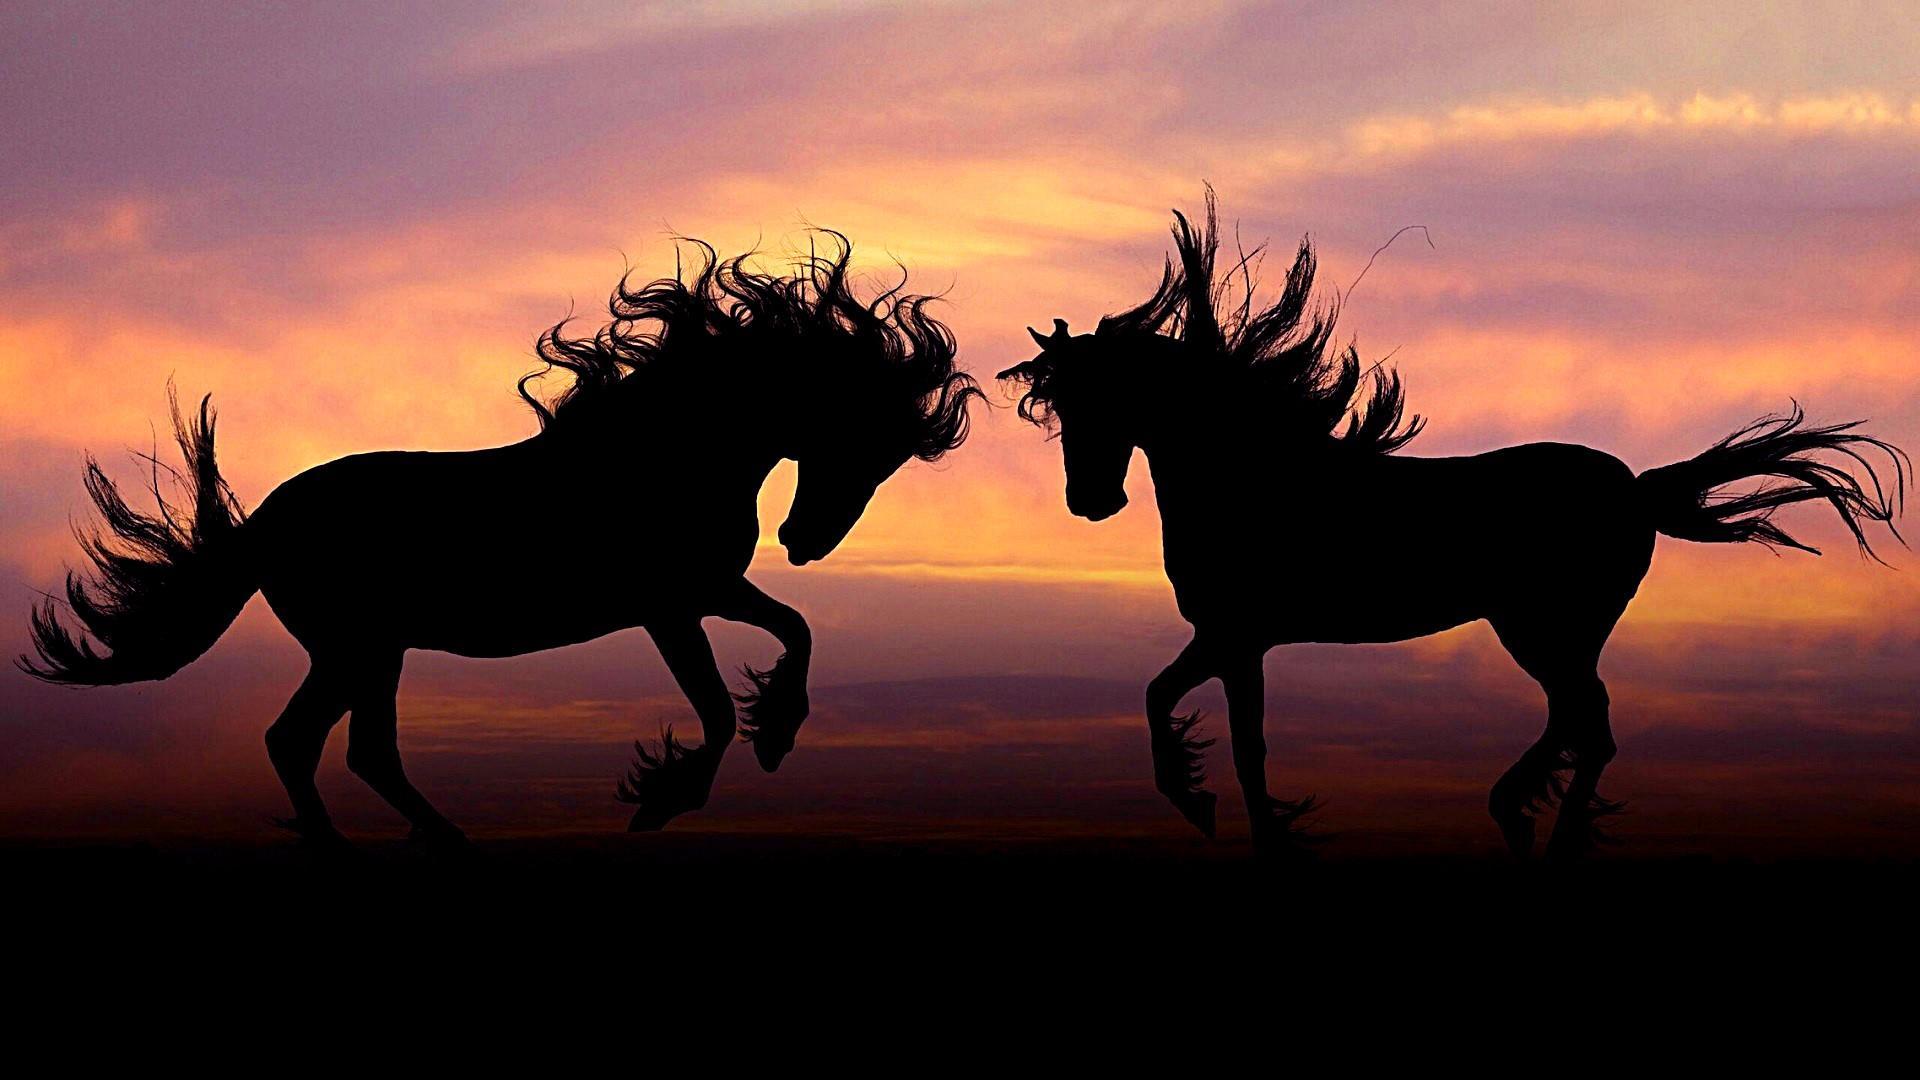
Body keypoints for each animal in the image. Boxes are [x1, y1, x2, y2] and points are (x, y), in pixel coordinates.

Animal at [21, 234, 982, 847]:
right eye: (865, 441)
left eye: (889, 461)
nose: (805, 540)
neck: (667, 450)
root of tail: (265, 522)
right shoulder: (672, 607)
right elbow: (716, 705)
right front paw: (663, 799)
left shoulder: (708, 592)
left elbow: (795, 630)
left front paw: (775, 735)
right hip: (358, 646)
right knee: (316, 743)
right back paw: (400, 848)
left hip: (366, 650)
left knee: (340, 747)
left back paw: (430, 844)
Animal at [1000, 191, 1907, 860]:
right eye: (1057, 405)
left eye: (1106, 396)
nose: (1090, 501)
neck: (1254, 474)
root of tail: (1634, 490)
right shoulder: (1225, 638)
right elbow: (1168, 703)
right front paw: (1209, 806)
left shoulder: (1239, 636)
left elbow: (1234, 742)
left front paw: (1230, 818)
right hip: (1554, 630)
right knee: (1582, 722)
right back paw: (1523, 815)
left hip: (1544, 626)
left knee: (1590, 724)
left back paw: (1539, 827)